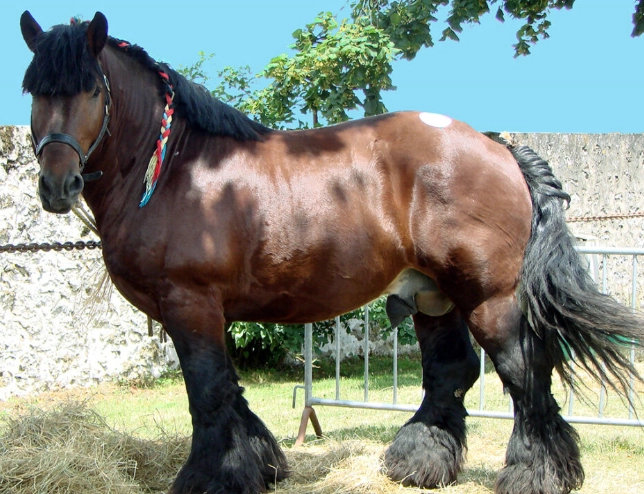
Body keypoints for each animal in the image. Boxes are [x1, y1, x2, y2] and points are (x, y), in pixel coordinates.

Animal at [20, 11, 643, 494]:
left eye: (92, 89)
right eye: (33, 91)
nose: (57, 185)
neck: (177, 169)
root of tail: (499, 148)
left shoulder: (189, 304)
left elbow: (208, 392)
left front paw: (211, 477)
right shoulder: (207, 312)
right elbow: (230, 392)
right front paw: (261, 465)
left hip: (490, 298)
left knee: (524, 371)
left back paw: (536, 474)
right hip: (433, 296)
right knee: (452, 369)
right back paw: (420, 461)